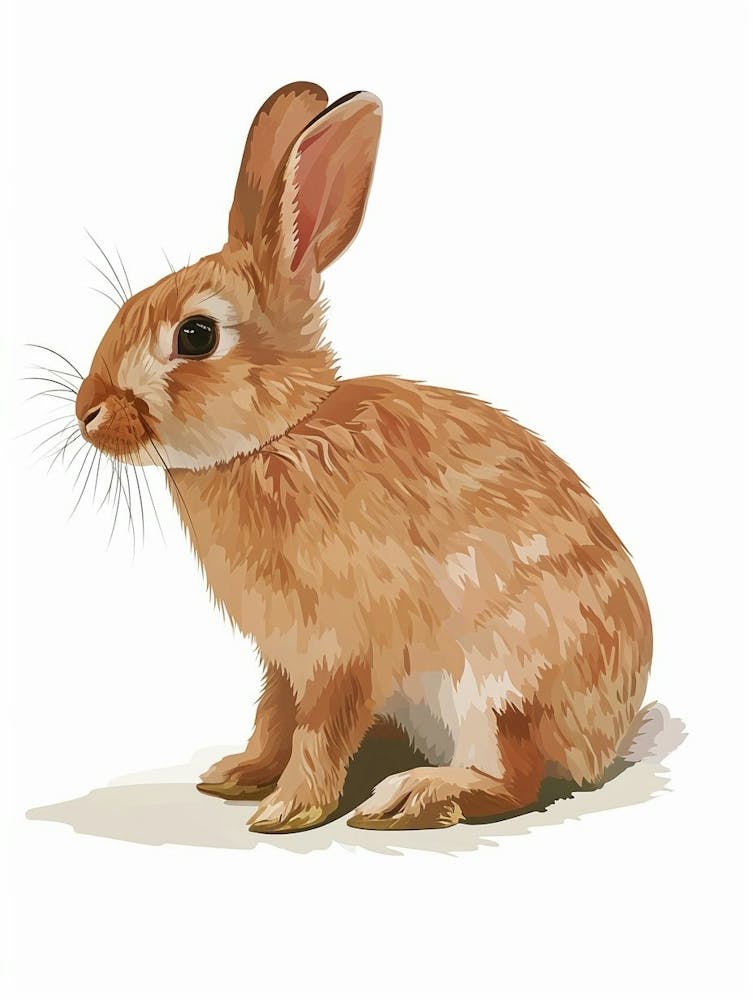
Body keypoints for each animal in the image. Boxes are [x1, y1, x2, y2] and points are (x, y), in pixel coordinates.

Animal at [73, 82, 652, 832]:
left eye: (196, 336)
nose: (86, 412)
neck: (280, 437)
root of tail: (608, 738)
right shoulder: (283, 659)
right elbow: (273, 716)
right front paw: (239, 775)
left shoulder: (344, 651)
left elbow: (318, 728)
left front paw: (287, 809)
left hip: (498, 688)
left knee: (513, 776)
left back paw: (414, 794)